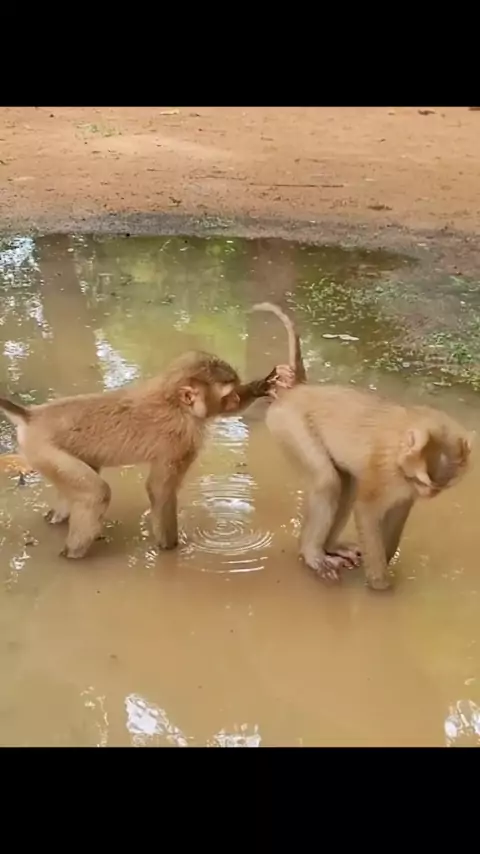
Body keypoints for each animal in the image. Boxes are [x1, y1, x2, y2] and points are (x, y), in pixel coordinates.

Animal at [0, 351, 294, 560]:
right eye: (226, 394)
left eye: (234, 391)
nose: (234, 399)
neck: (175, 402)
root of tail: (32, 416)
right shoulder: (180, 440)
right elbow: (159, 490)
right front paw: (172, 548)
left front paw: (263, 385)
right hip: (44, 450)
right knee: (96, 494)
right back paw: (71, 555)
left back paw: (55, 520)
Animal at [252, 302, 474, 591]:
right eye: (424, 481)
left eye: (439, 487)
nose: (429, 494)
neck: (401, 450)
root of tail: (298, 390)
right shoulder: (384, 467)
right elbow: (367, 511)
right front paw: (381, 587)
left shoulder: (403, 483)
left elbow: (398, 512)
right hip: (287, 423)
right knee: (327, 481)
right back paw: (312, 555)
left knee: (345, 485)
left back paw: (331, 547)